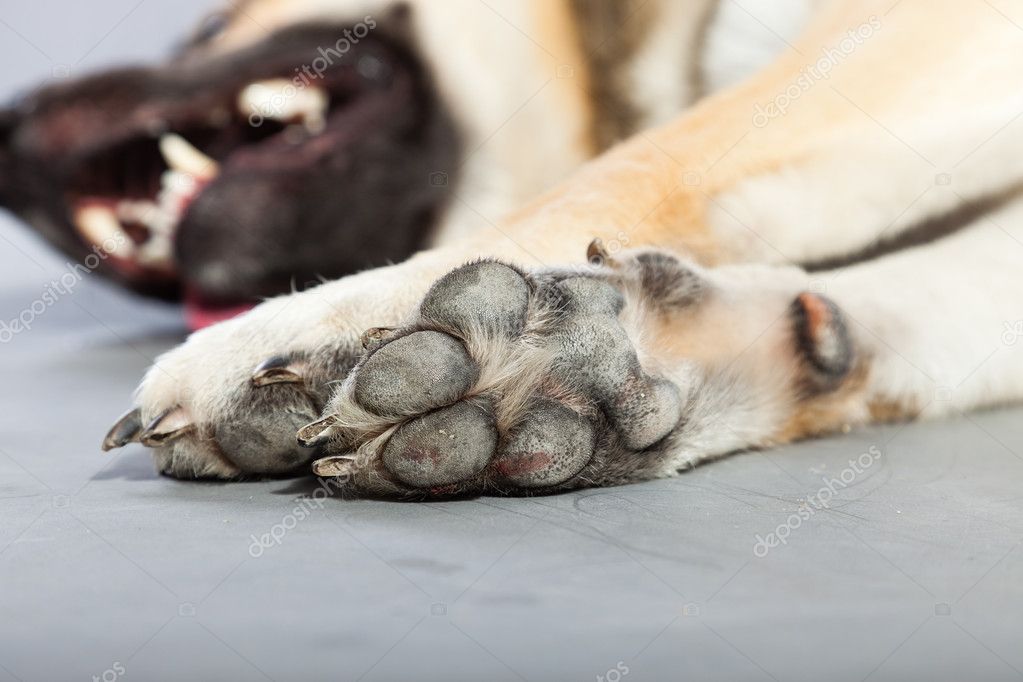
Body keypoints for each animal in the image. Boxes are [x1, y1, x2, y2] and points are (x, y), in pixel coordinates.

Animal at [1, 2, 1023, 498]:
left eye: (210, 29)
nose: (12, 139)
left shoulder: (933, 27)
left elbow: (655, 158)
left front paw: (320, 321)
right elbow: (890, 320)